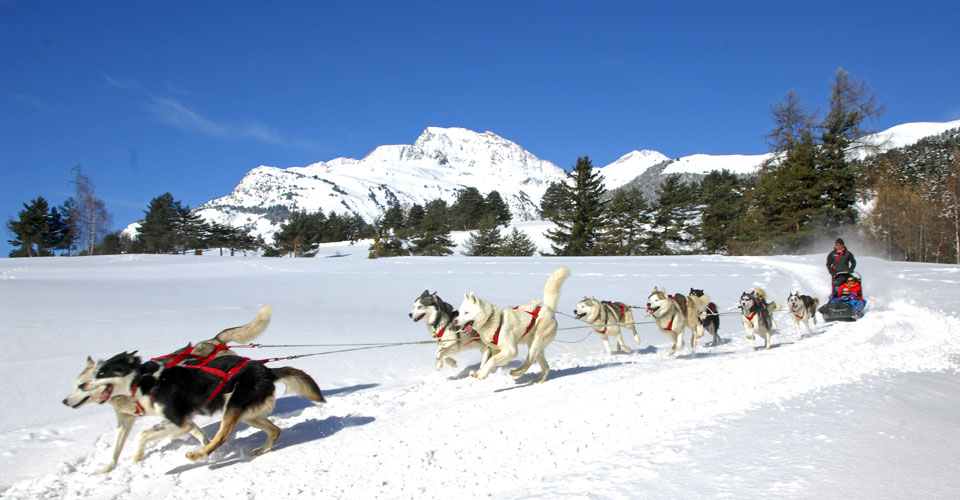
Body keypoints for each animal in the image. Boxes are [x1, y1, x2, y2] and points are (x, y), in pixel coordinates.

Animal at [62, 304, 274, 472]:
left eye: (83, 384)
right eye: (76, 385)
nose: (64, 401)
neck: (139, 383)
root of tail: (213, 341)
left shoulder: (176, 417)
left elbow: (145, 435)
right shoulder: (128, 421)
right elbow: (116, 449)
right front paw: (106, 469)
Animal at [91, 350, 322, 462]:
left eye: (101, 373)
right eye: (95, 373)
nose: (85, 384)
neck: (149, 381)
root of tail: (267, 370)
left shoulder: (178, 420)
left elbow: (142, 434)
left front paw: (138, 455)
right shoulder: (181, 421)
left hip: (233, 408)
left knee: (221, 437)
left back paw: (199, 455)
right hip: (248, 414)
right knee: (275, 430)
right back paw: (262, 449)